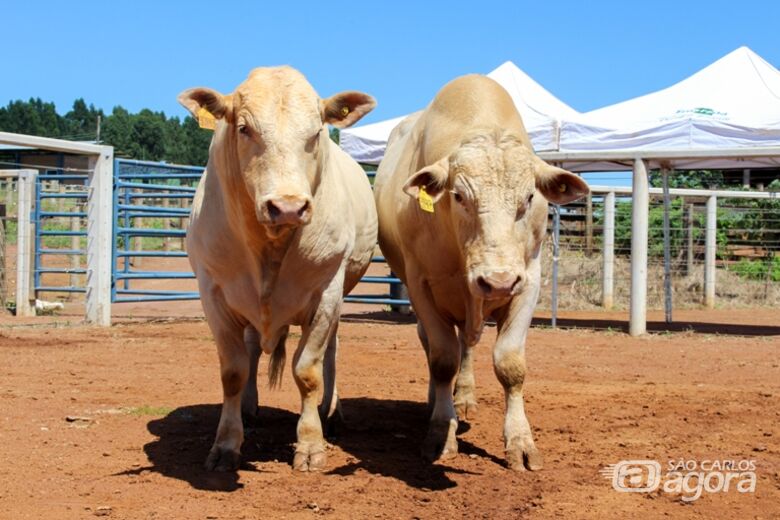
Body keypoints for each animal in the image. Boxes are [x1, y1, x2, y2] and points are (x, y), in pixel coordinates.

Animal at [181, 66, 380, 472]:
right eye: (244, 128)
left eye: (317, 132)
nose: (288, 207)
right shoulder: (214, 294)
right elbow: (233, 371)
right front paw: (226, 444)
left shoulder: (326, 293)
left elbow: (307, 371)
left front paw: (311, 444)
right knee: (253, 348)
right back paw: (249, 406)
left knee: (331, 350)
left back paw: (331, 411)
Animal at [374, 74, 588, 472]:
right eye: (459, 196)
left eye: (529, 199)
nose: (498, 280)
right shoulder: (421, 285)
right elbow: (442, 359)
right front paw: (441, 432)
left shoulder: (528, 282)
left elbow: (510, 364)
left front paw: (520, 441)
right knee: (437, 347)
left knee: (468, 346)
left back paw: (464, 397)